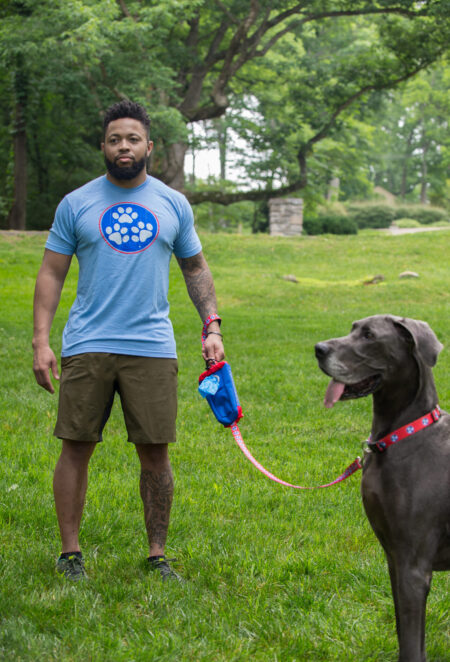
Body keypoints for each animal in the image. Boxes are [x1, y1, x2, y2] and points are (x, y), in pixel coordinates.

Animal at [314, 316, 448, 662]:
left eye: (369, 336)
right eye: (353, 328)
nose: (318, 349)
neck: (401, 435)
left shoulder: (413, 566)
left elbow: (412, 645)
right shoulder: (393, 558)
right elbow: (406, 636)